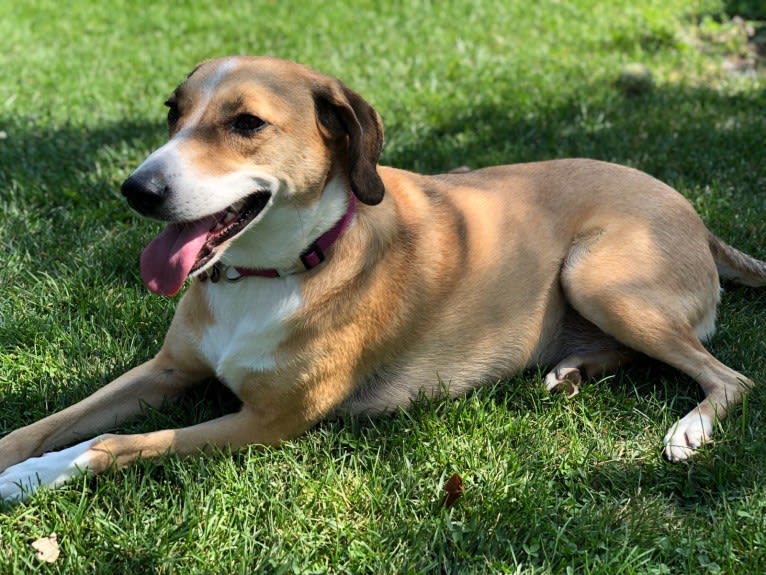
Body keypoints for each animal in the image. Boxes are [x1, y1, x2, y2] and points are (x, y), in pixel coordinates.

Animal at [1, 56, 766, 502]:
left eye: (245, 122)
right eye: (172, 112)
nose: (136, 190)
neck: (272, 269)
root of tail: (694, 214)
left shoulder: (269, 421)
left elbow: (111, 444)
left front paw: (32, 478)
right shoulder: (167, 370)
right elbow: (51, 422)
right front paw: (19, 454)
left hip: (599, 278)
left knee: (729, 376)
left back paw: (688, 429)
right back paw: (571, 370)